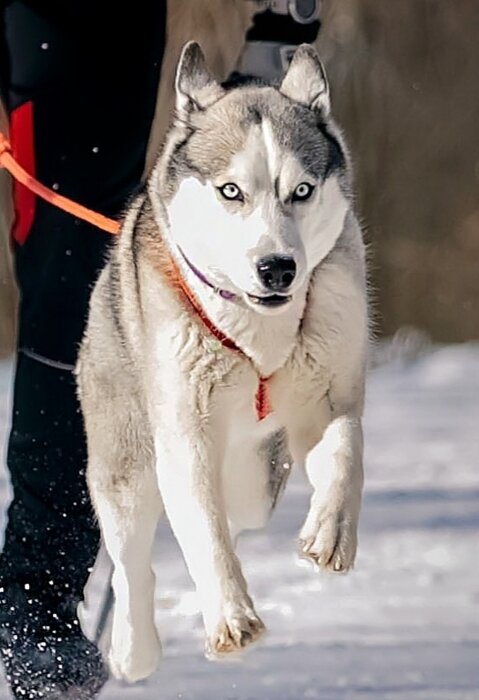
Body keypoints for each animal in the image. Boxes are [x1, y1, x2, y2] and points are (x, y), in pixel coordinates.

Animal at [76, 42, 368, 684]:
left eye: (301, 191)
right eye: (231, 191)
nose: (278, 268)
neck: (257, 331)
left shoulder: (328, 389)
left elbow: (344, 454)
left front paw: (329, 530)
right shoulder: (184, 430)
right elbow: (201, 532)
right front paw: (231, 619)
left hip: (256, 476)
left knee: (237, 510)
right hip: (127, 454)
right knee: (135, 556)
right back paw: (134, 648)